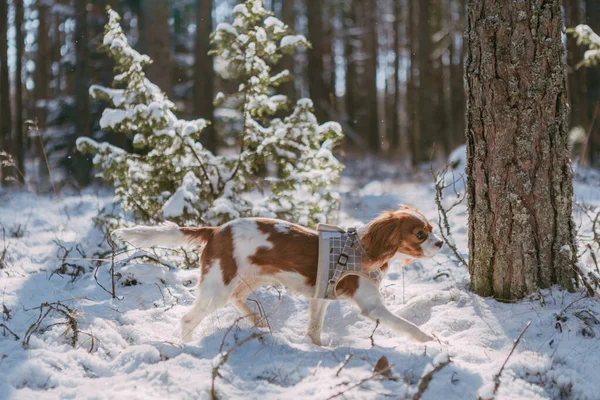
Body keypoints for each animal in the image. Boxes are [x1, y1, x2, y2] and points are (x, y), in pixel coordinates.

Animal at [113, 205, 440, 346]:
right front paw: (432, 340)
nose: (440, 244)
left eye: (432, 229)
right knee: (188, 319)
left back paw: (258, 321)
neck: (362, 248)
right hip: (218, 286)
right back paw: (187, 346)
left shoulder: (322, 294)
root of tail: (215, 230)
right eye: (420, 234)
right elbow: (408, 325)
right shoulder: (371, 305)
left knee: (238, 299)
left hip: (250, 278)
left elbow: (314, 327)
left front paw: (317, 346)